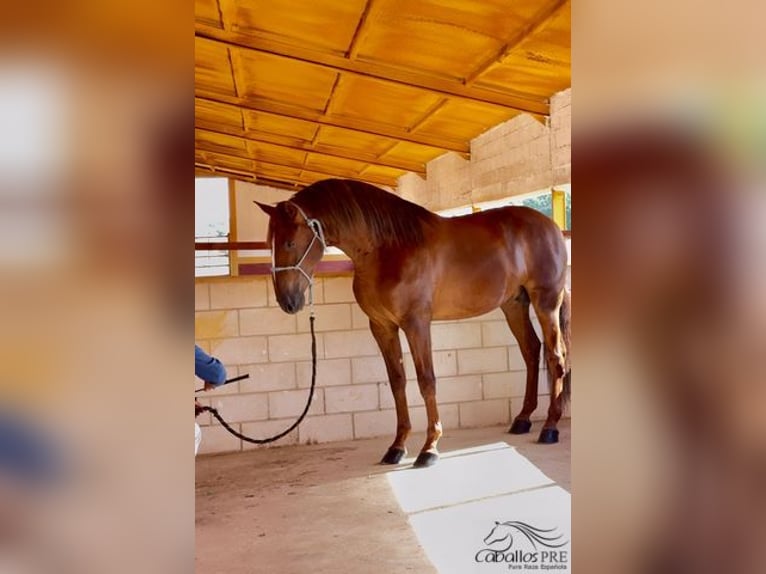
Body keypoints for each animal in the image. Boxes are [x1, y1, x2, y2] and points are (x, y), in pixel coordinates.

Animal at [258, 179, 568, 468]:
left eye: (289, 242)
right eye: (268, 242)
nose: (287, 301)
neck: (387, 246)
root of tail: (551, 227)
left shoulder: (417, 323)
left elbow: (426, 380)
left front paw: (429, 447)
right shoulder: (382, 326)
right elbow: (397, 382)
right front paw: (397, 446)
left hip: (546, 303)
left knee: (555, 358)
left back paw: (550, 427)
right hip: (514, 305)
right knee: (531, 351)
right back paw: (523, 419)